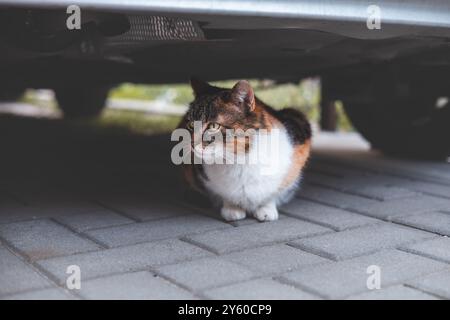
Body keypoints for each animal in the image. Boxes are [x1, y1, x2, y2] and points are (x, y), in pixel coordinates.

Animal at [178, 79, 312, 221]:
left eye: (213, 126)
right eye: (191, 124)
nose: (192, 144)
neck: (239, 158)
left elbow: (274, 192)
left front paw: (267, 208)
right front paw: (232, 208)